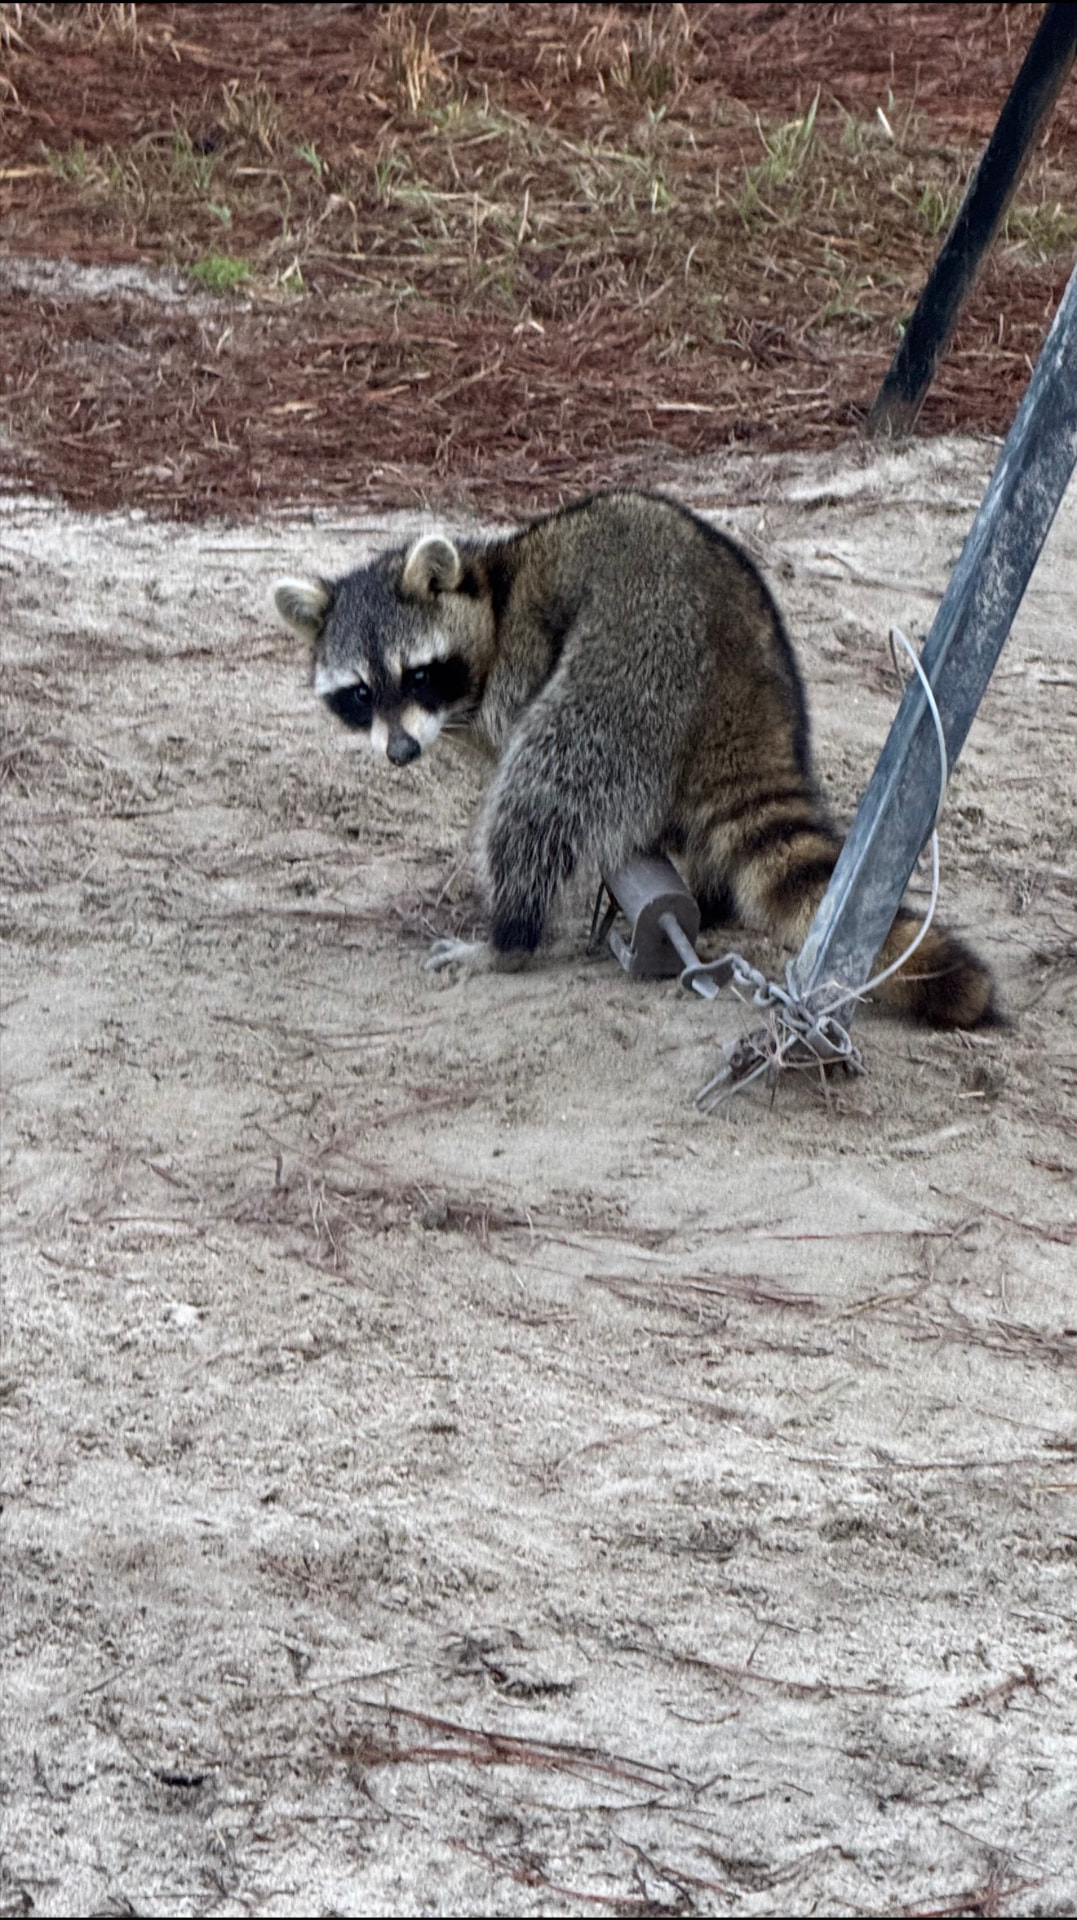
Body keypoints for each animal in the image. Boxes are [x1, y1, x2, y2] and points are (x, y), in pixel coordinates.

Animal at [275, 490, 997, 1028]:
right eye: (360, 693)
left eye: (418, 674)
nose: (400, 751)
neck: (491, 594)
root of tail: (738, 662)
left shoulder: (525, 657)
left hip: (632, 667)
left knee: (542, 790)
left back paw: (509, 938)